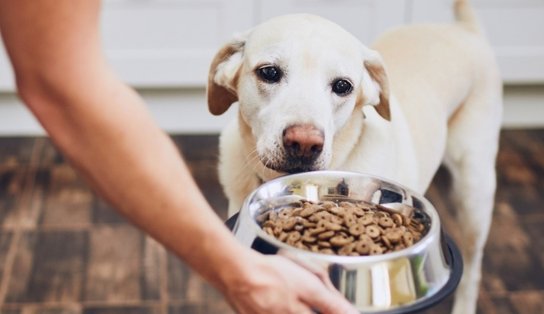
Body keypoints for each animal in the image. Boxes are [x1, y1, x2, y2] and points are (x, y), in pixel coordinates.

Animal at [207, 0, 502, 312]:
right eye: (269, 73)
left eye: (342, 86)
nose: (304, 143)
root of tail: (465, 29)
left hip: (474, 193)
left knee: (473, 268)